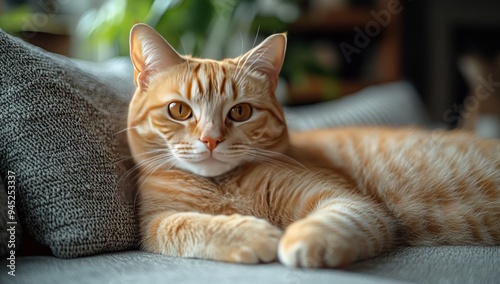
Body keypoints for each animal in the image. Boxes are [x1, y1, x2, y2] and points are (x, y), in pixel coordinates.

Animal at [128, 23, 500, 268]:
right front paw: (253, 235)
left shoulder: (347, 200)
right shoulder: (154, 223)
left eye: (240, 111)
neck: (223, 185)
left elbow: (337, 217)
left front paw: (300, 239)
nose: (210, 139)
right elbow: (185, 225)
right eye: (179, 110)